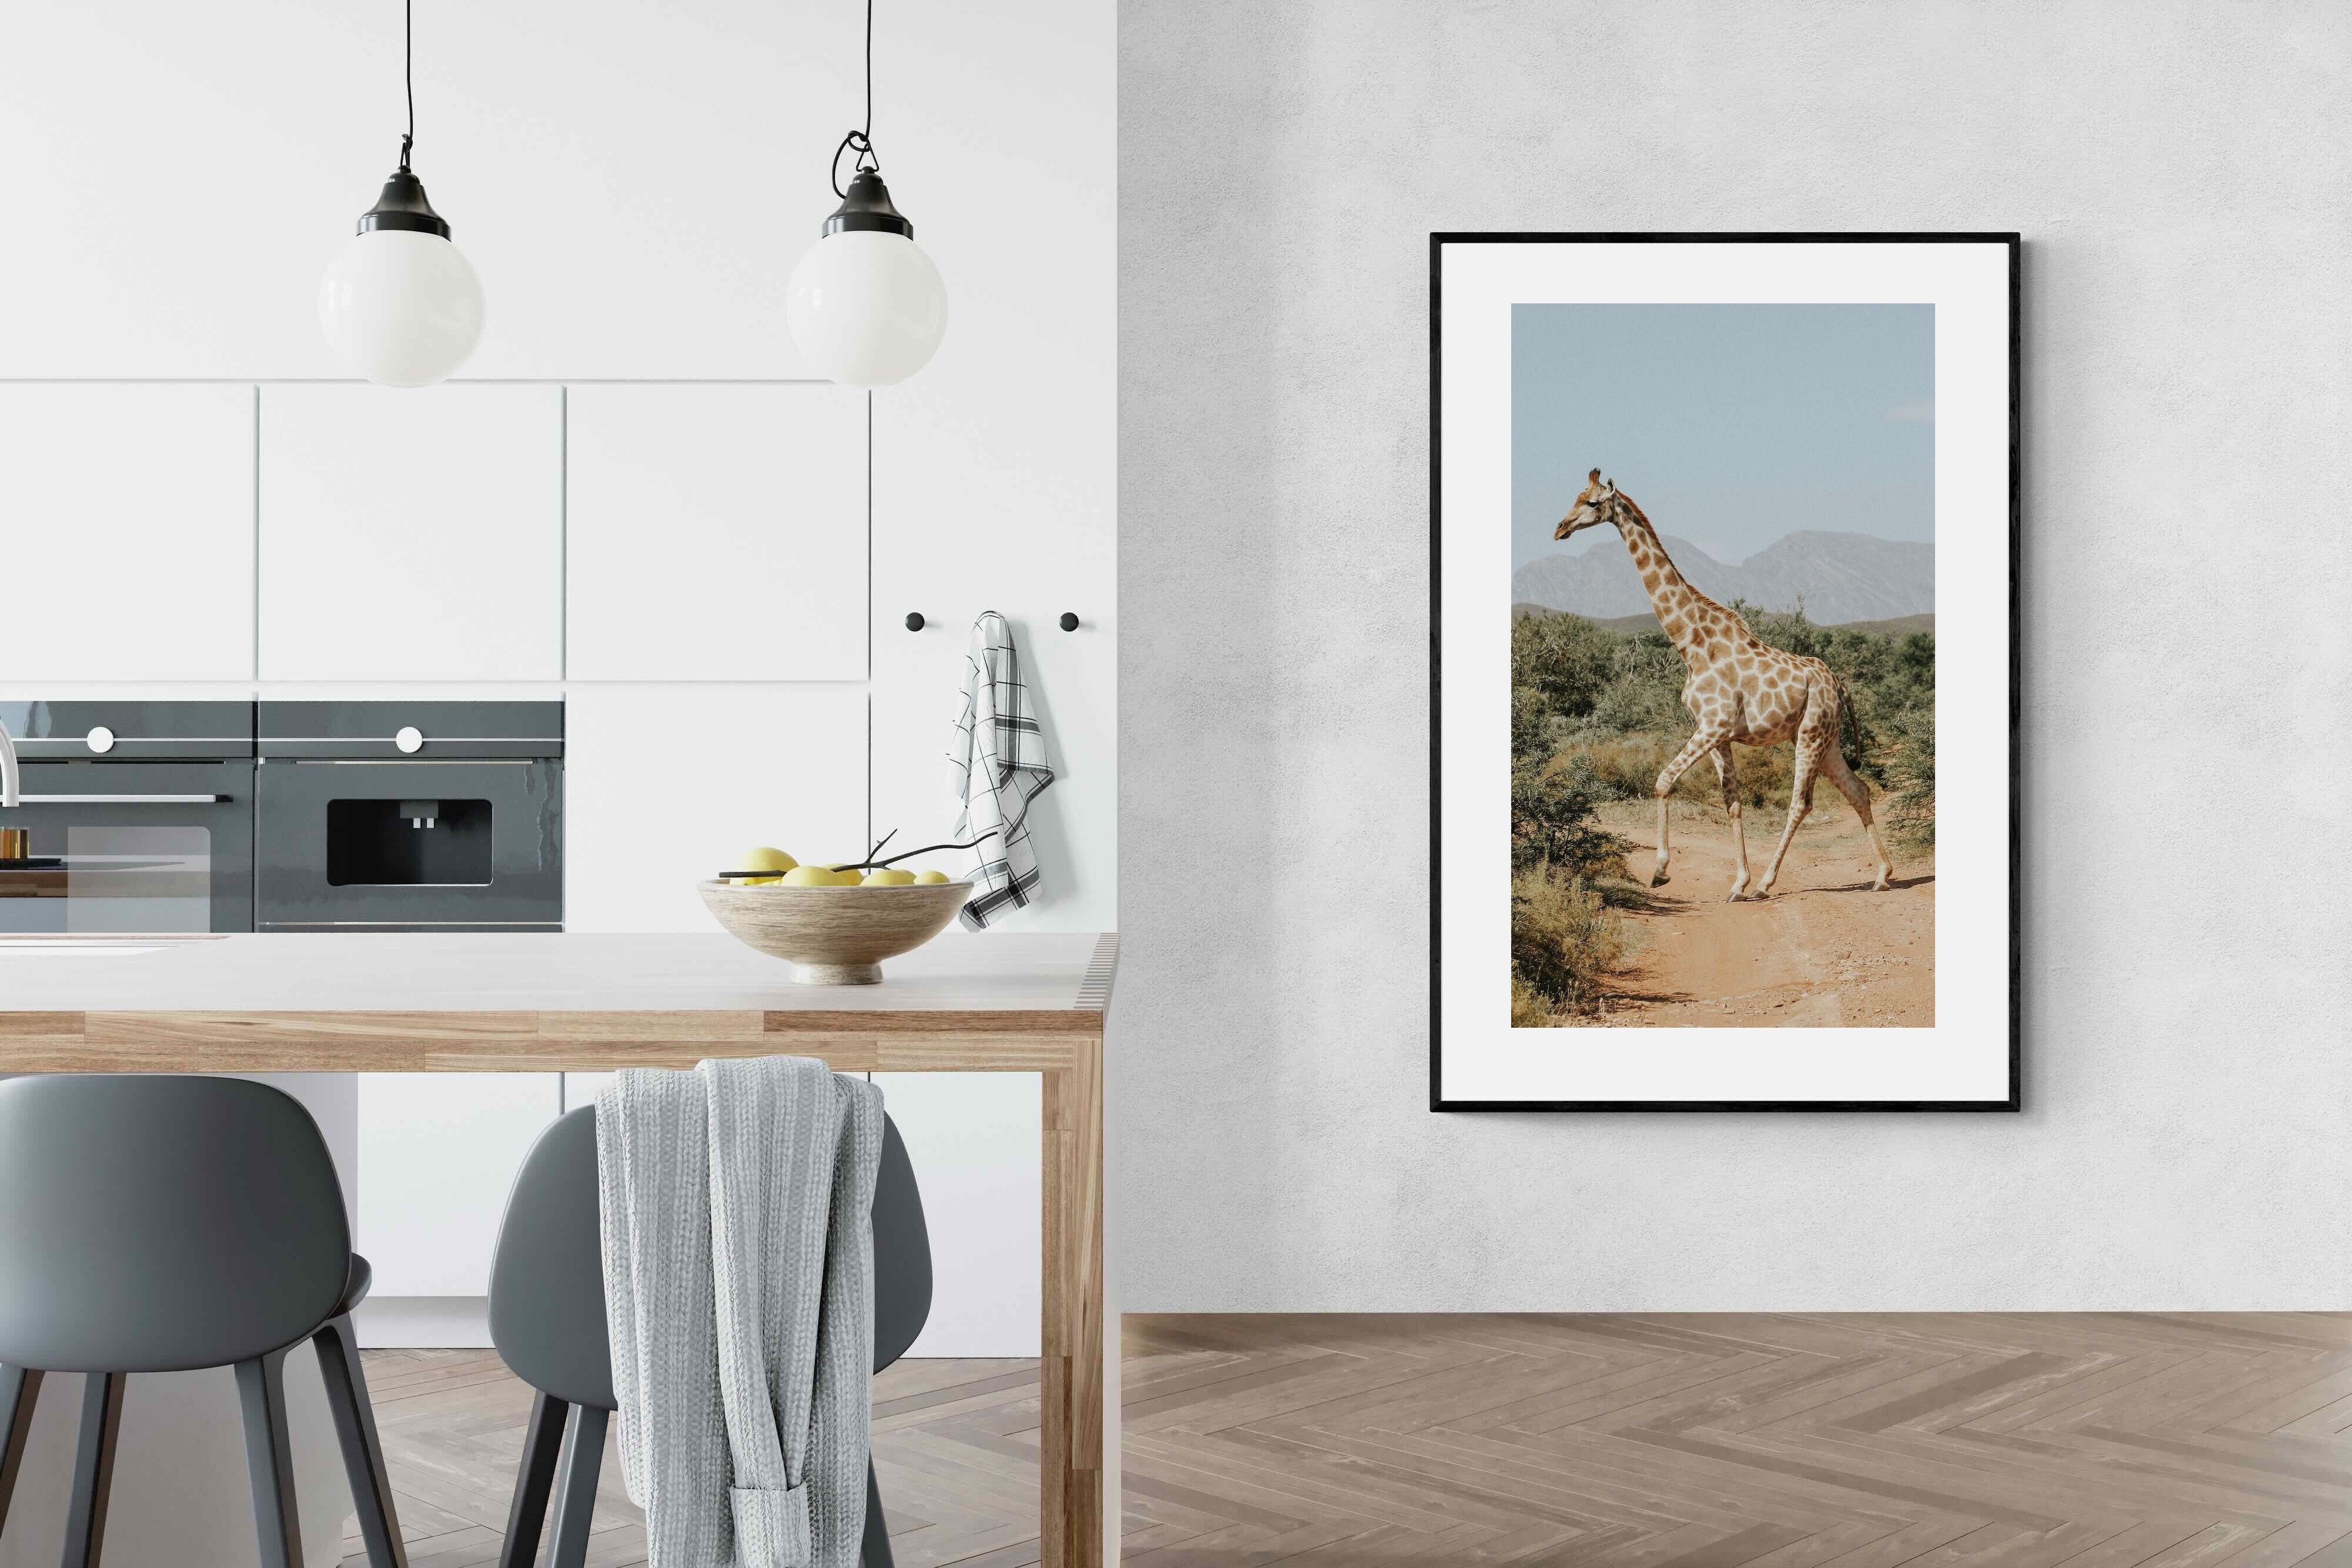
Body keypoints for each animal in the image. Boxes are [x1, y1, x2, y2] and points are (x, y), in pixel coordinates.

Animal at [1553, 470, 1893, 900]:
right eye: (1576, 496)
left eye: (1593, 503)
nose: (1560, 528)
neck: (1691, 644)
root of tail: (1840, 686)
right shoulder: (1718, 734)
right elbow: (1732, 802)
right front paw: (1737, 883)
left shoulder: (1713, 726)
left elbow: (1663, 781)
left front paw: (1661, 871)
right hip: (1826, 739)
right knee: (1858, 789)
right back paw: (1882, 874)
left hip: (1811, 734)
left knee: (1801, 803)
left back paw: (1767, 884)